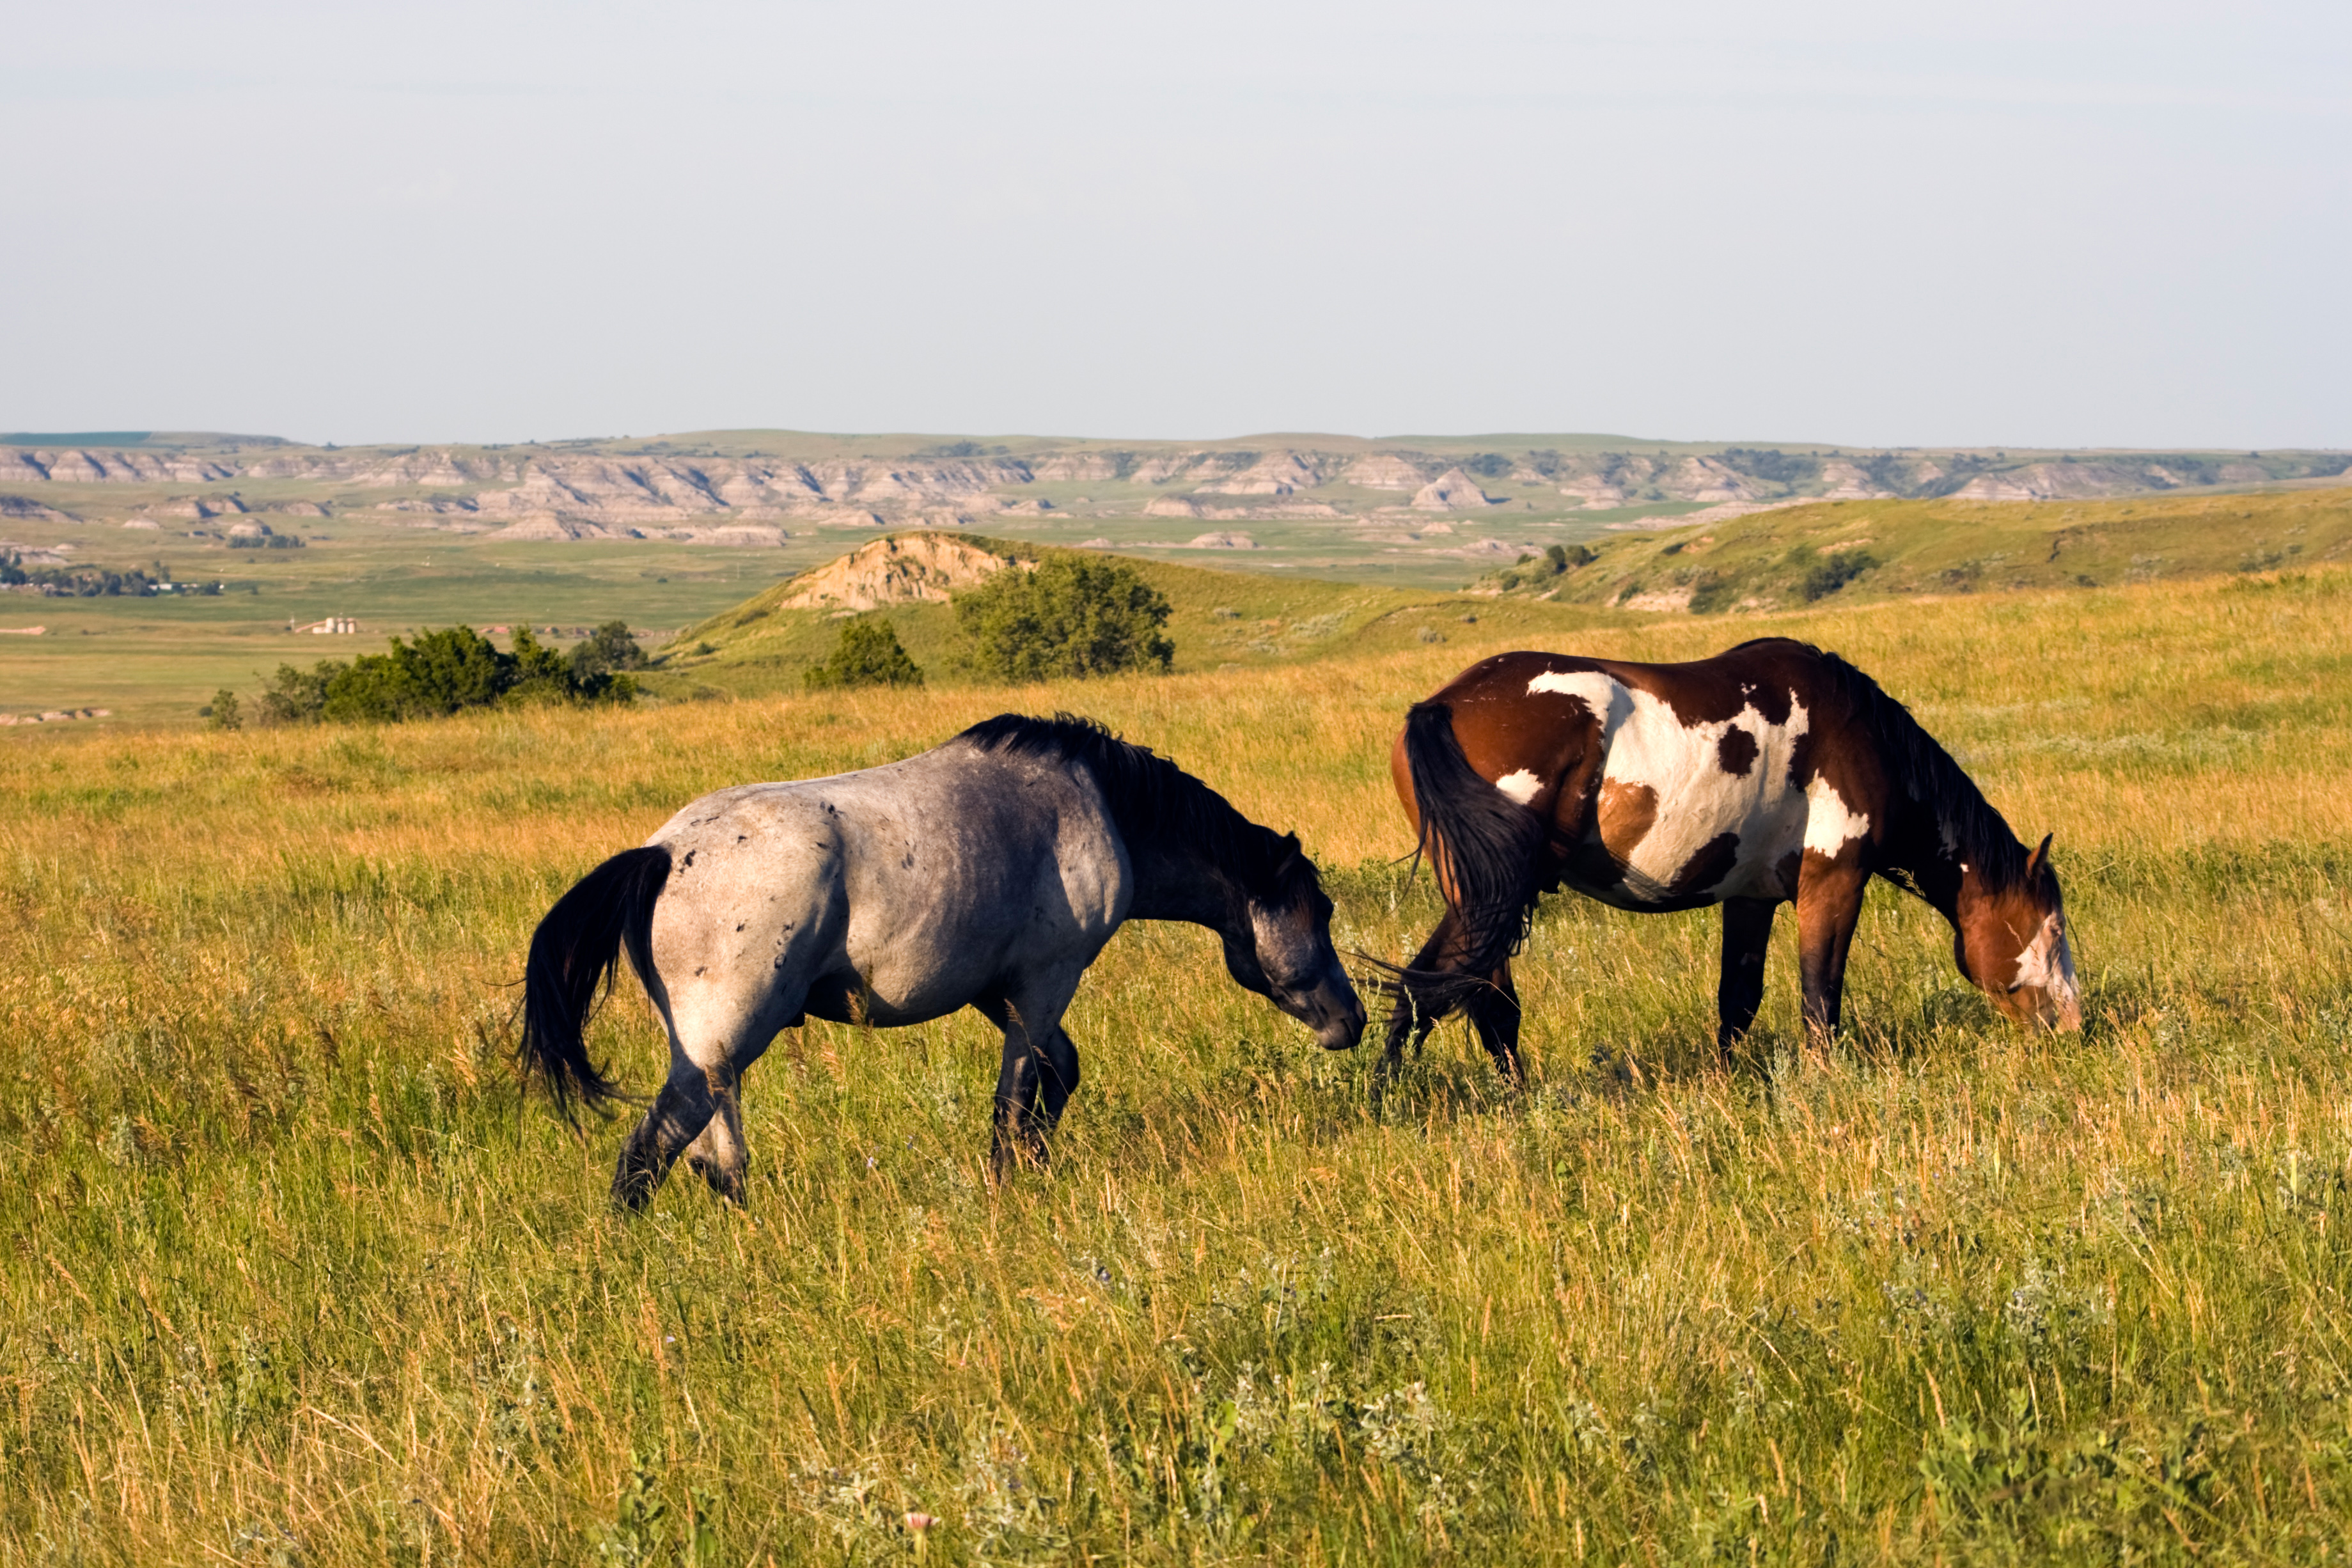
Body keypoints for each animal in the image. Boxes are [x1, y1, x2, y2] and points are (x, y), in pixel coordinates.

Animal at [515, 719, 1364, 1212]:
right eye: (1320, 912)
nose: (1351, 1019)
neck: (1103, 808)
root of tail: (660, 854)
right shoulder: (1046, 981)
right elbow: (1016, 1097)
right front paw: (1009, 1184)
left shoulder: (999, 989)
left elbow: (1057, 1075)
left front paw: (1036, 1170)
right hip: (723, 1046)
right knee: (647, 1155)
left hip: (709, 1058)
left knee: (717, 1162)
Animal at [1383, 639, 2089, 1081]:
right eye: (2054, 928)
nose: (2073, 1027)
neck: (1857, 734)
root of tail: (1444, 705)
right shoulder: (1834, 884)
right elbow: (1819, 996)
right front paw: (1823, 1080)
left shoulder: (1752, 897)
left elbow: (1738, 1002)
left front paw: (1727, 1084)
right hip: (1495, 897)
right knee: (1471, 994)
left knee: (1443, 988)